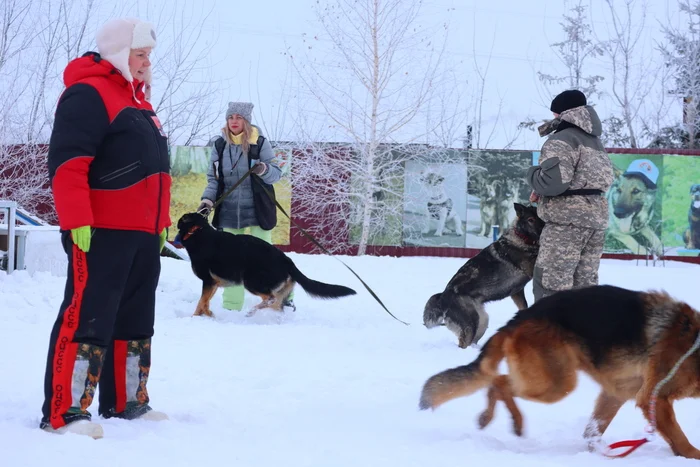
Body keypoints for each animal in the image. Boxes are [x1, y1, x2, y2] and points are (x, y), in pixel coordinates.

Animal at [424, 203, 544, 350]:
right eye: (531, 220)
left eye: (540, 217)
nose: (543, 229)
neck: (521, 236)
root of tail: (443, 296)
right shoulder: (530, 267)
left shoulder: (517, 292)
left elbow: (524, 306)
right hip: (471, 324)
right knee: (463, 343)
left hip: (482, 321)